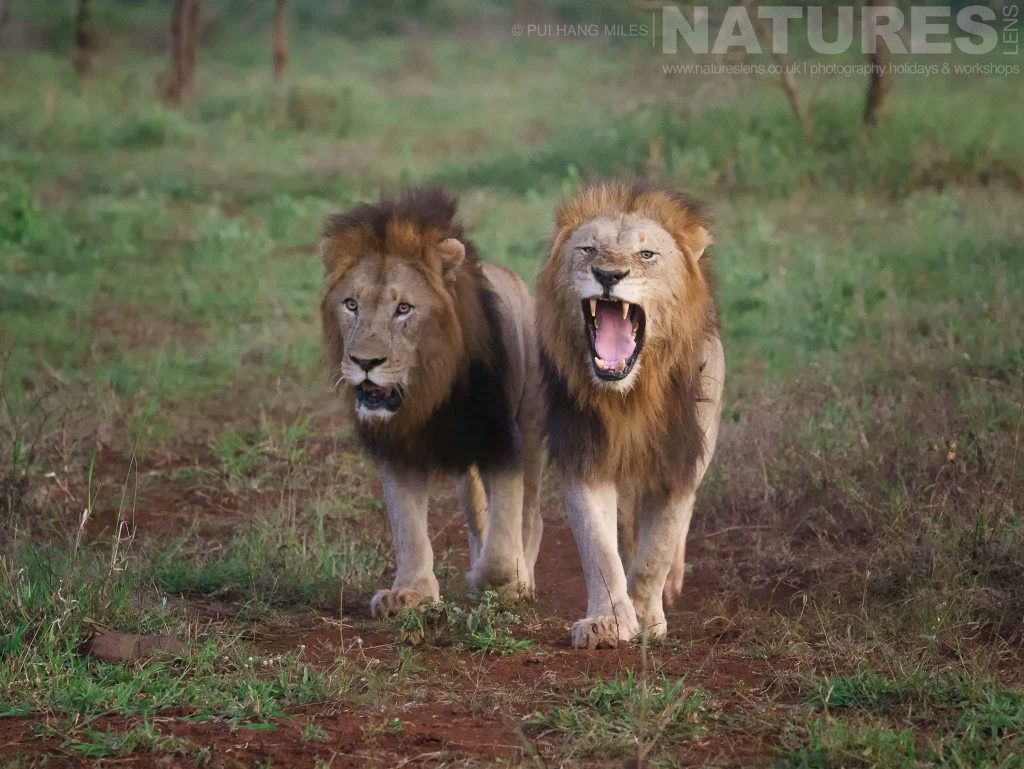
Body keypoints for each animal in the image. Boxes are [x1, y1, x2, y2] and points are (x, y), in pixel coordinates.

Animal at [320, 187, 544, 618]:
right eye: (351, 304)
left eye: (404, 309)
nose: (364, 362)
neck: (428, 391)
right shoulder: (396, 450)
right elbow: (408, 528)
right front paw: (410, 593)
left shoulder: (501, 441)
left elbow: (502, 545)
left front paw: (499, 581)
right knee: (477, 514)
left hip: (532, 434)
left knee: (530, 515)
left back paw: (523, 581)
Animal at [535, 180, 725, 649]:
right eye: (588, 249)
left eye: (646, 254)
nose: (608, 275)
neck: (629, 396)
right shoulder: (583, 457)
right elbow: (599, 549)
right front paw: (609, 623)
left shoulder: (680, 463)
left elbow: (658, 549)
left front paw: (646, 617)